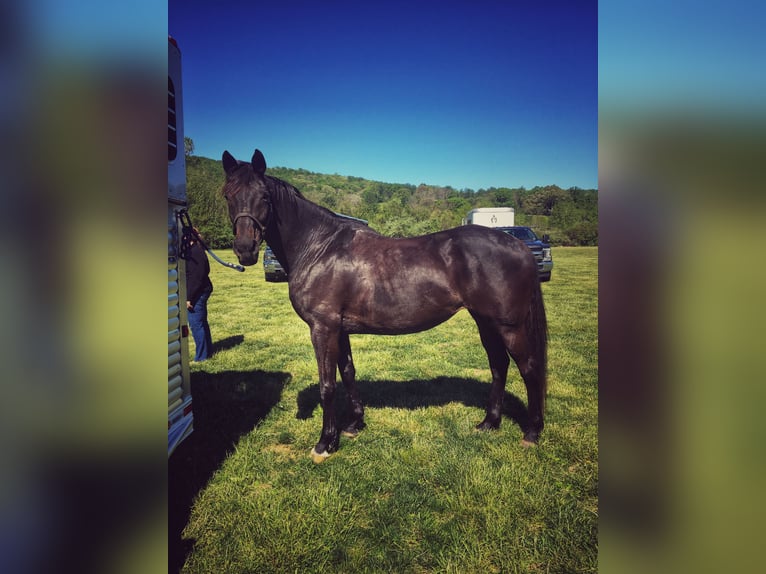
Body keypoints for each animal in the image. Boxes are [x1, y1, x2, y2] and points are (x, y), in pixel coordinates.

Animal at [219, 150, 548, 464]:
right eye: (228, 195)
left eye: (264, 196)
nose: (245, 249)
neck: (319, 248)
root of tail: (518, 245)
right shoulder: (339, 329)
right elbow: (348, 372)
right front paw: (353, 425)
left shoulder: (322, 328)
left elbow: (328, 385)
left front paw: (324, 444)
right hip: (485, 322)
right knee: (499, 365)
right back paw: (489, 423)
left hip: (509, 326)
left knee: (528, 368)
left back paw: (532, 432)